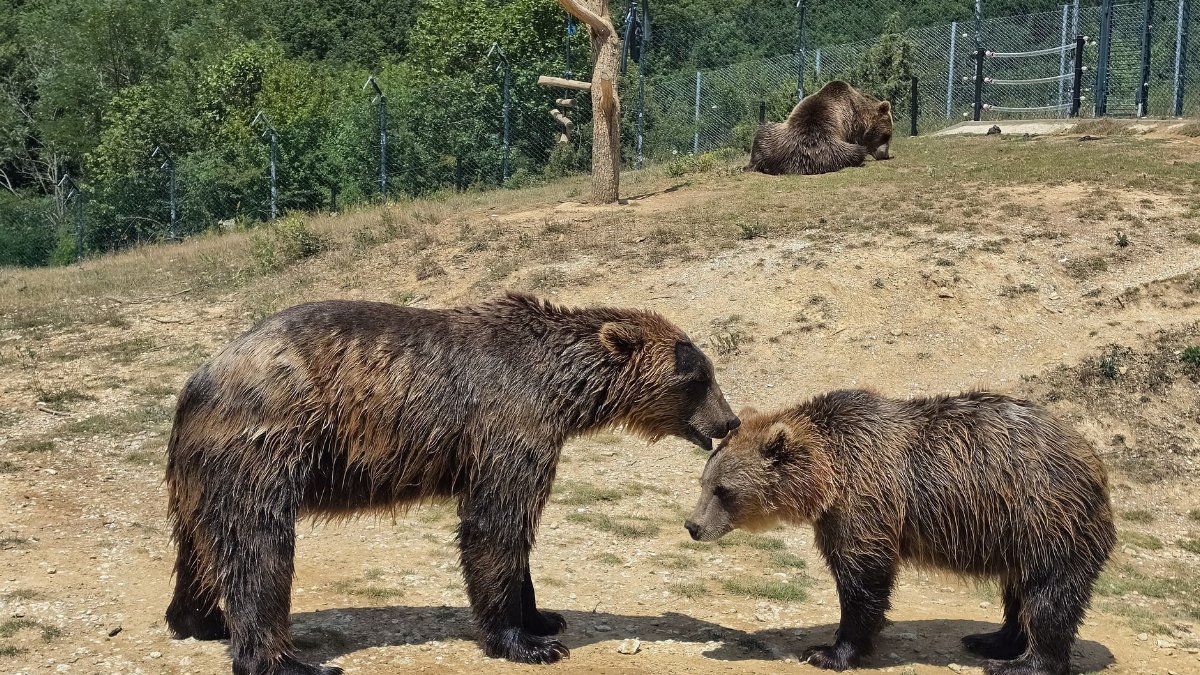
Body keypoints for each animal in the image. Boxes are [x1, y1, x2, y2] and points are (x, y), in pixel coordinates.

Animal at [165, 292, 740, 674]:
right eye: (698, 377)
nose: (729, 421)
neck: (560, 390)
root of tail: (197, 380)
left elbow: (516, 536)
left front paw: (544, 617)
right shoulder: (509, 423)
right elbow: (496, 525)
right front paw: (526, 643)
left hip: (201, 467)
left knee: (197, 541)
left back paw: (201, 620)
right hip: (269, 440)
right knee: (259, 548)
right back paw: (285, 661)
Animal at [685, 389, 1115, 675]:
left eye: (723, 490)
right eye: (704, 482)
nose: (693, 526)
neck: (827, 477)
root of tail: (1092, 458)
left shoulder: (866, 501)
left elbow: (862, 580)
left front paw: (828, 652)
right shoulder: (836, 514)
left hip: (1045, 516)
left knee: (1047, 595)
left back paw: (1020, 663)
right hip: (1018, 534)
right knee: (1018, 589)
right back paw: (991, 640)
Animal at [745, 80, 893, 175]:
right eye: (886, 136)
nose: (885, 155)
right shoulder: (851, 124)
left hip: (773, 140)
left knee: (761, 134)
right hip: (829, 150)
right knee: (856, 152)